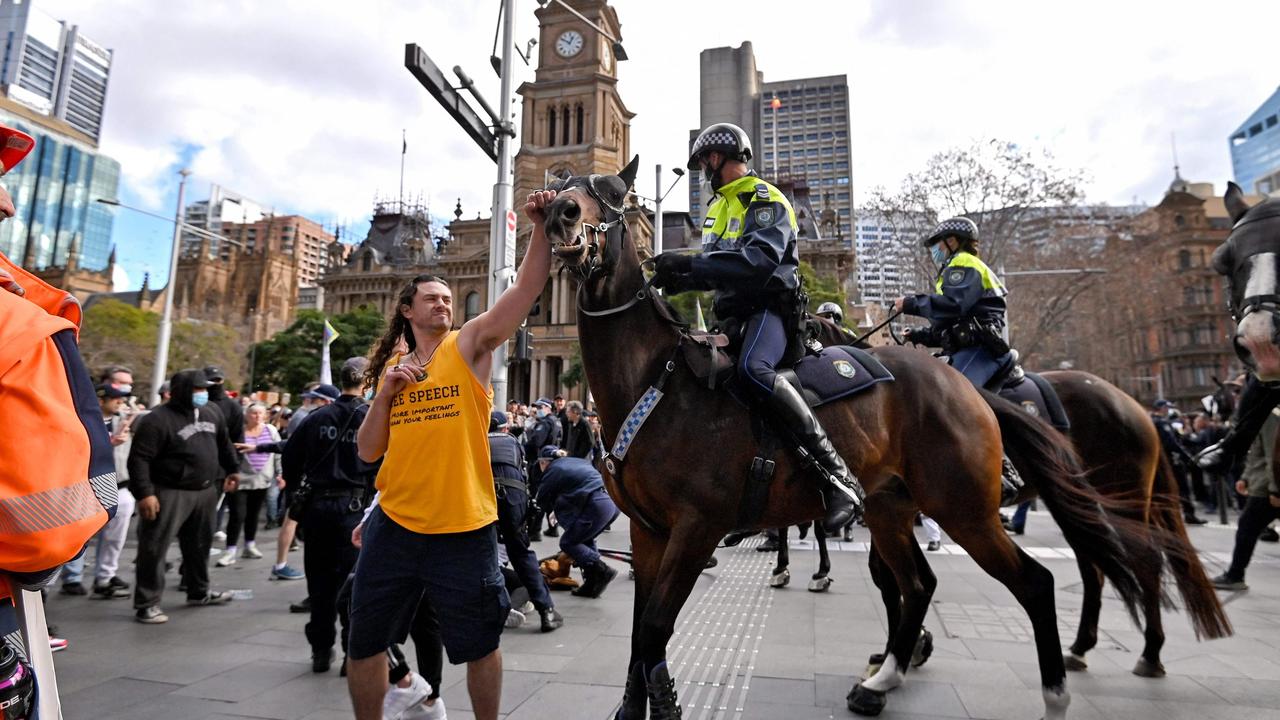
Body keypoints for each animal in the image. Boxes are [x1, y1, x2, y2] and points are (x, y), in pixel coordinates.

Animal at [545, 162, 1157, 717]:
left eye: (613, 195)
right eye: (564, 184)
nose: (561, 213)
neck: (658, 380)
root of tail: (967, 389)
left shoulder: (697, 528)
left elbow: (653, 630)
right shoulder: (649, 533)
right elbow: (638, 638)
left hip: (967, 510)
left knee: (1041, 580)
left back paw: (1063, 685)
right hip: (890, 508)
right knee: (922, 584)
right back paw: (884, 678)